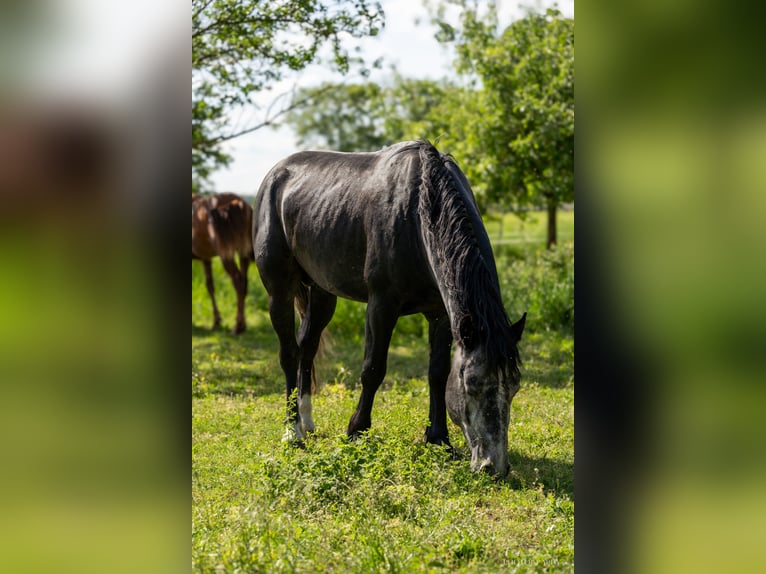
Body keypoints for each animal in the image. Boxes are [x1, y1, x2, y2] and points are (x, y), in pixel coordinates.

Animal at [192, 194, 255, 336]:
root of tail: (238, 203)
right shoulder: (206, 259)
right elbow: (210, 286)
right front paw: (216, 321)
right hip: (243, 252)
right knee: (244, 282)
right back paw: (242, 325)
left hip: (225, 254)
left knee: (237, 280)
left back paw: (238, 326)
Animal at [254, 140, 528, 476]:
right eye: (472, 383)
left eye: (514, 386)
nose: (494, 466)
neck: (419, 213)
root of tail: (276, 174)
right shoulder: (381, 305)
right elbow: (373, 369)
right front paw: (357, 431)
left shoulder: (440, 314)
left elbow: (437, 373)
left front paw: (439, 438)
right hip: (278, 291)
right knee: (289, 354)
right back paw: (292, 432)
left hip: (322, 293)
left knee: (307, 349)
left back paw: (307, 422)